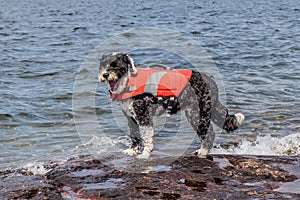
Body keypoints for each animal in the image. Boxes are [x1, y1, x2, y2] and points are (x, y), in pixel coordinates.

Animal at [98, 52, 244, 159]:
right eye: (103, 65)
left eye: (116, 65)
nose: (105, 74)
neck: (129, 82)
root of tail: (211, 82)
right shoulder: (131, 118)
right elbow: (134, 135)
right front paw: (132, 150)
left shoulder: (144, 116)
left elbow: (146, 137)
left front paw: (145, 154)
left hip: (197, 114)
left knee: (209, 134)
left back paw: (202, 152)